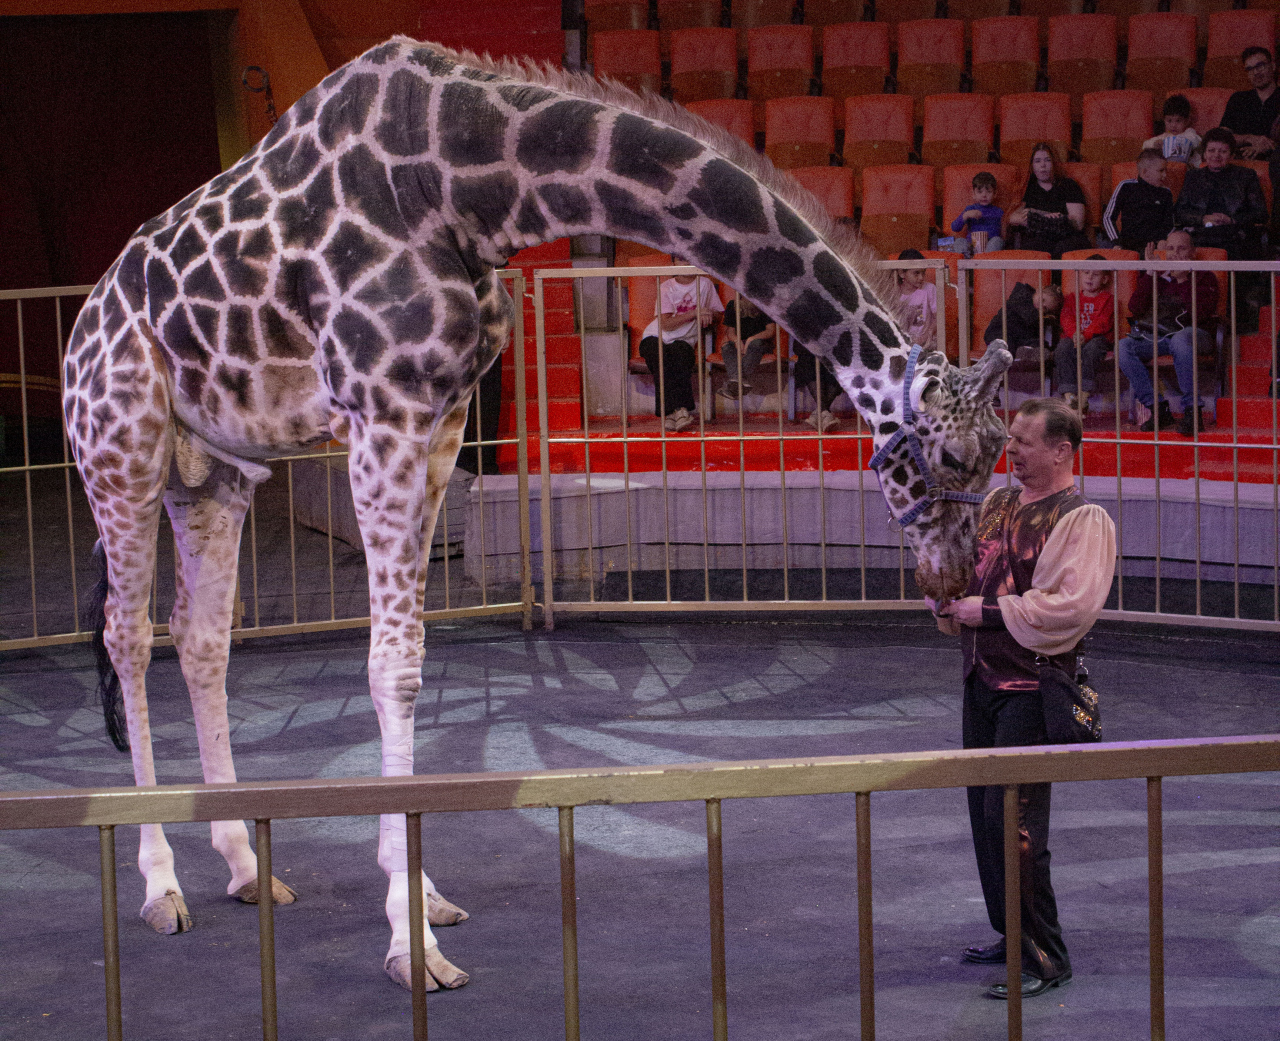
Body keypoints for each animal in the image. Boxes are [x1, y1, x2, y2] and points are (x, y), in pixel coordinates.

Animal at [62, 36, 1013, 991]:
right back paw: (159, 885)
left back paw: (246, 865)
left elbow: (404, 654)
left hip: (214, 472)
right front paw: (412, 942)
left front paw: (419, 890)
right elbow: (392, 666)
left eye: (1004, 447)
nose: (952, 579)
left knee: (199, 637)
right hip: (122, 453)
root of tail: (79, 329)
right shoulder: (382, 412)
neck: (464, 183)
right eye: (955, 459)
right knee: (124, 635)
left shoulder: (442, 420)